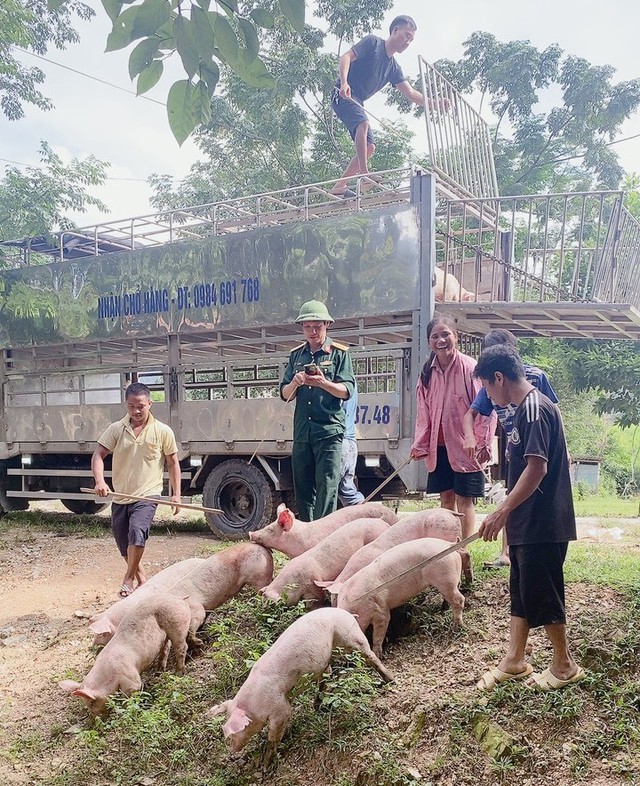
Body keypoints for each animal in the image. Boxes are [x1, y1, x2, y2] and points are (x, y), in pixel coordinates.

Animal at [208, 608, 392, 764]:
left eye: (234, 733)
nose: (232, 750)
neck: (254, 704)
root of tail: (345, 612)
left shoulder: (280, 708)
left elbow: (274, 735)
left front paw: (265, 765)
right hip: (327, 656)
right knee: (327, 673)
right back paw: (317, 706)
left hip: (351, 637)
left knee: (370, 656)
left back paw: (390, 680)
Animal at [338, 532, 468, 656]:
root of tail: (448, 544)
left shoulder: (380, 608)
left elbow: (381, 629)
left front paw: (378, 654)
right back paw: (443, 609)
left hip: (445, 575)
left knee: (459, 599)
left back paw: (457, 627)